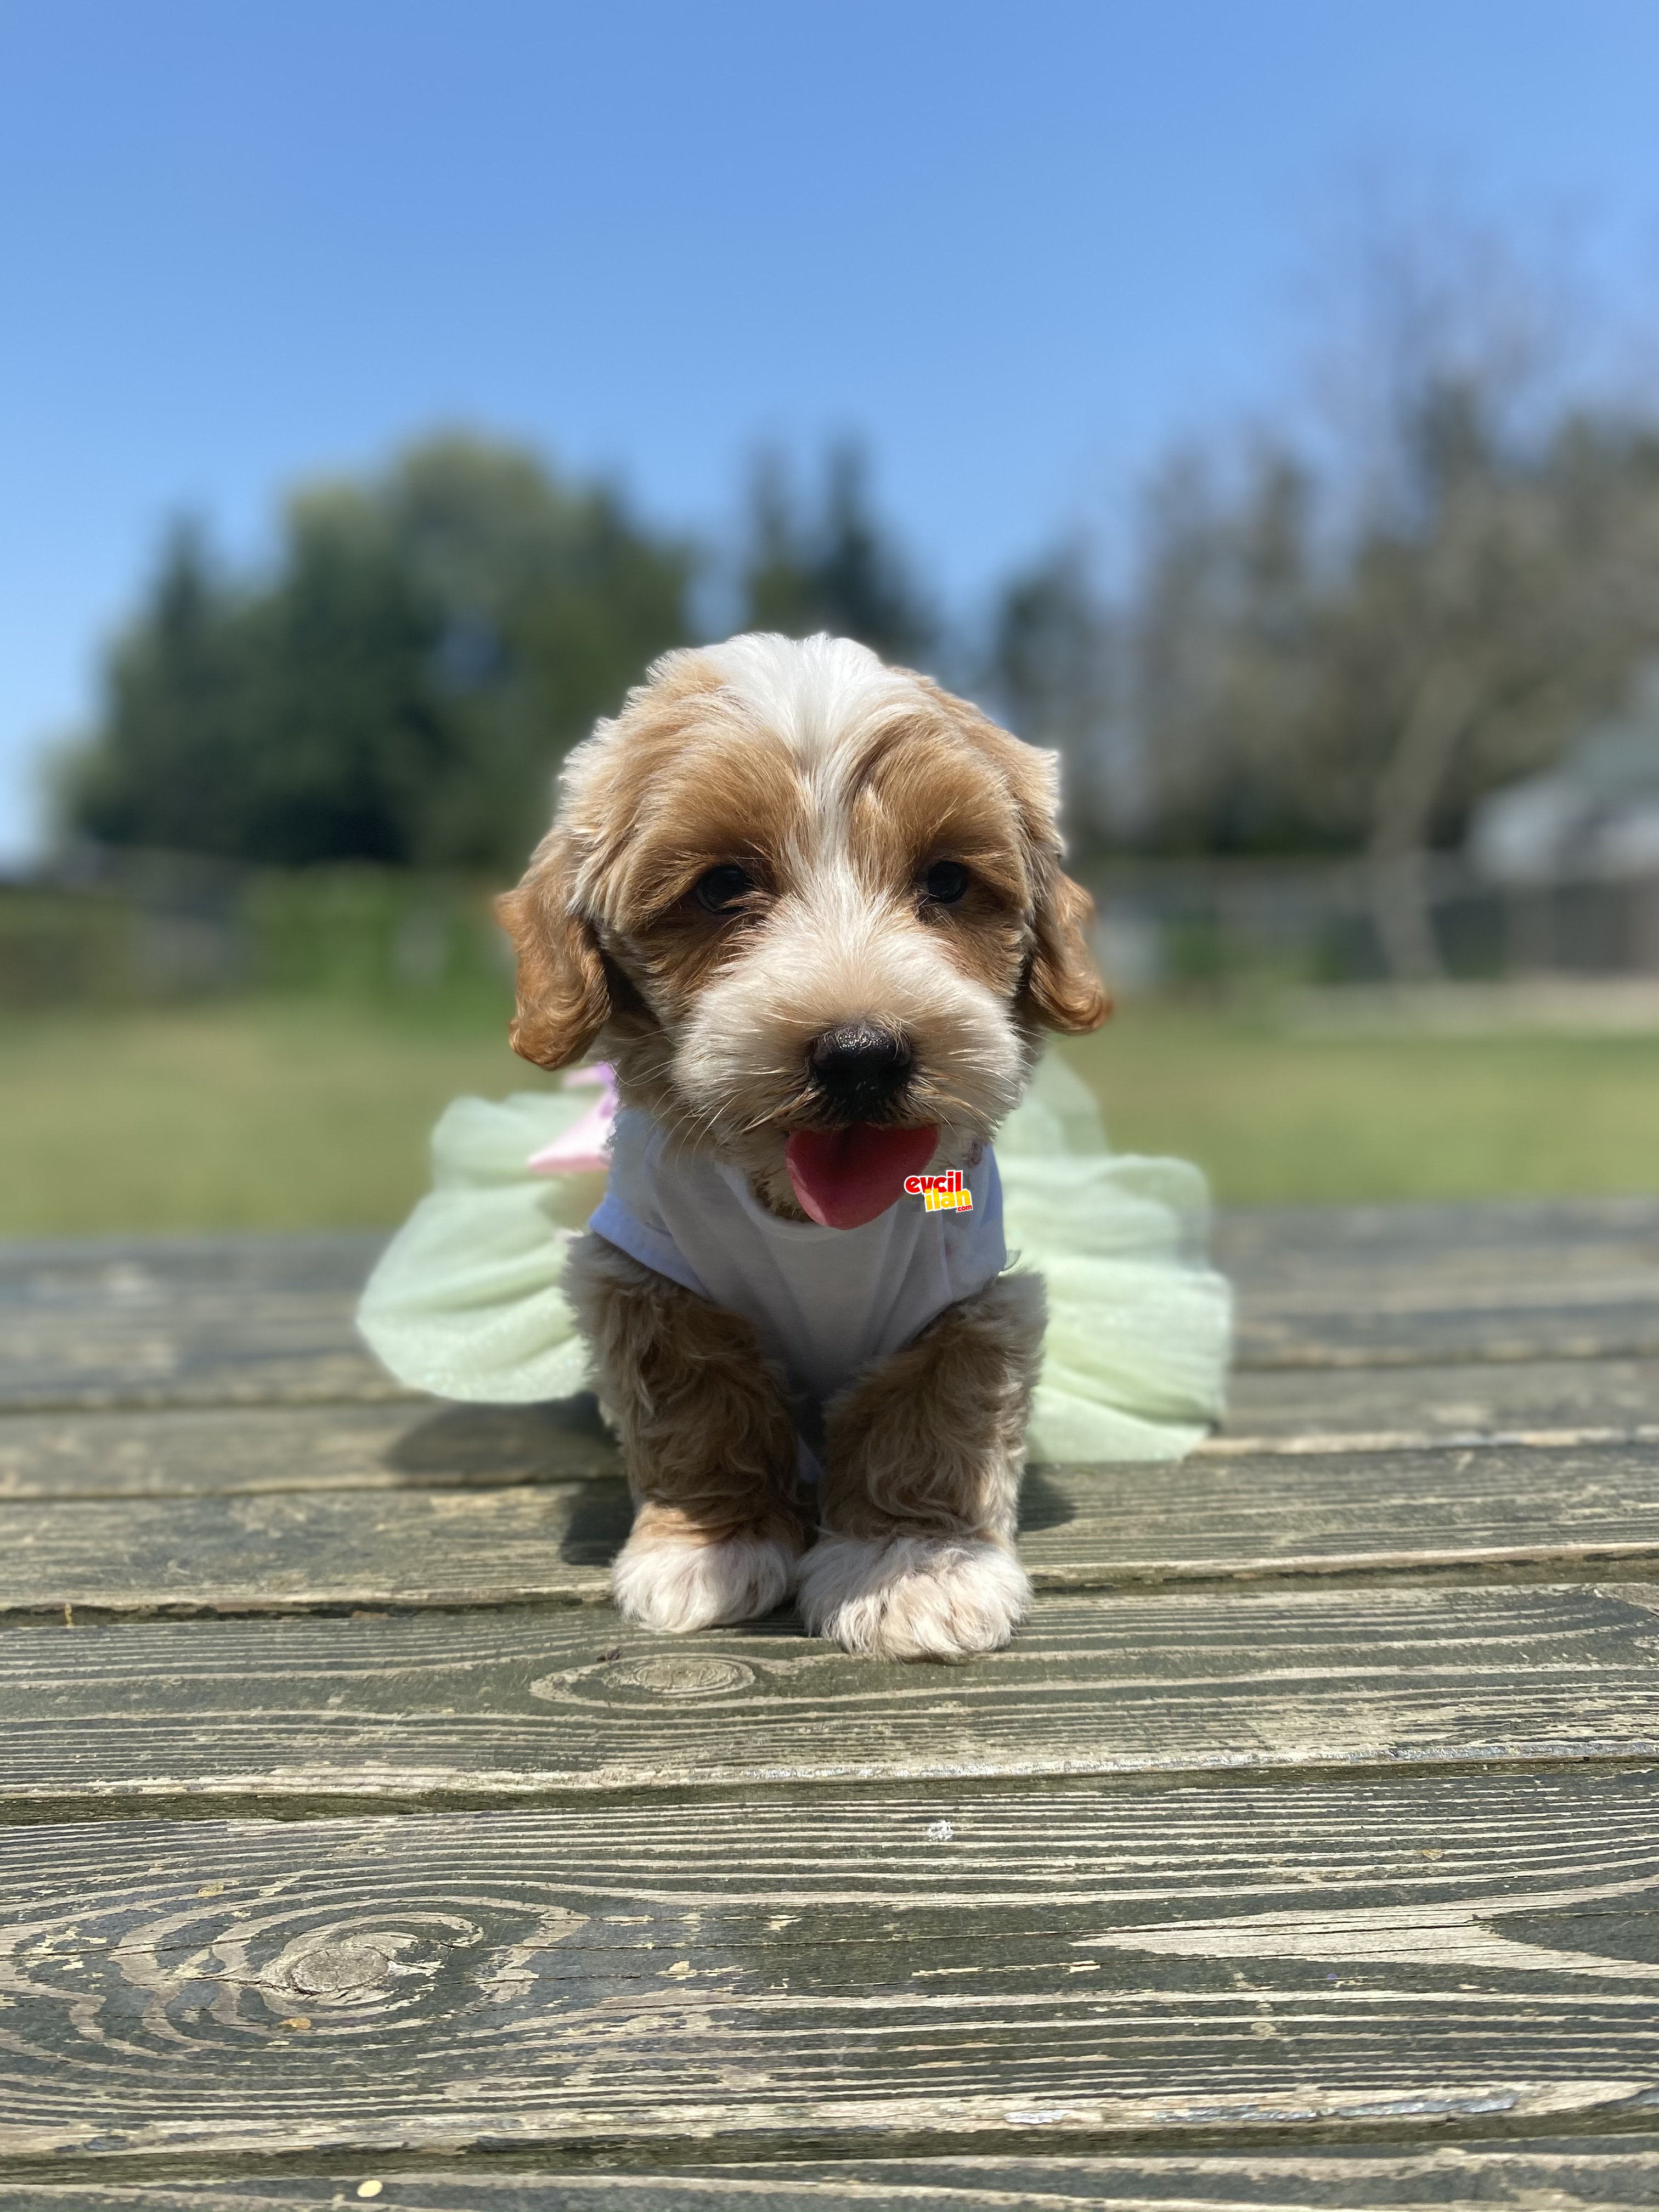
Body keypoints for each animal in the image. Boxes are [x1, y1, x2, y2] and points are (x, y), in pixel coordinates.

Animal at [500, 633, 1110, 1654]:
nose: (862, 1054)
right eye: (720, 887)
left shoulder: (971, 1298)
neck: (811, 1221)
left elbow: (928, 1407)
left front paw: (912, 1568)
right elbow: (699, 1399)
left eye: (947, 880)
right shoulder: (647, 1277)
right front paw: (713, 1547)